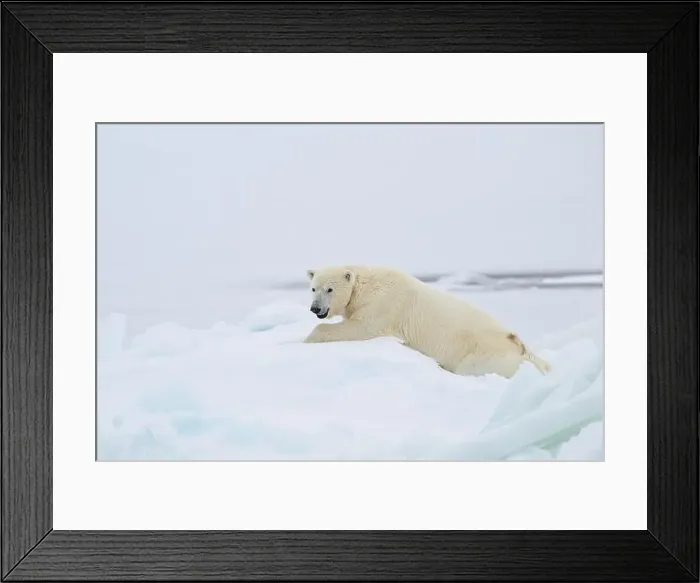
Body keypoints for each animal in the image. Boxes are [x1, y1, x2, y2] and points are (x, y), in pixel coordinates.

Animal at [303, 265, 551, 379]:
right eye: (313, 288)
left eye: (330, 289)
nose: (315, 308)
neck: (367, 285)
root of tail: (518, 345)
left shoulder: (385, 304)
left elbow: (363, 327)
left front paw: (307, 338)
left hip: (484, 355)